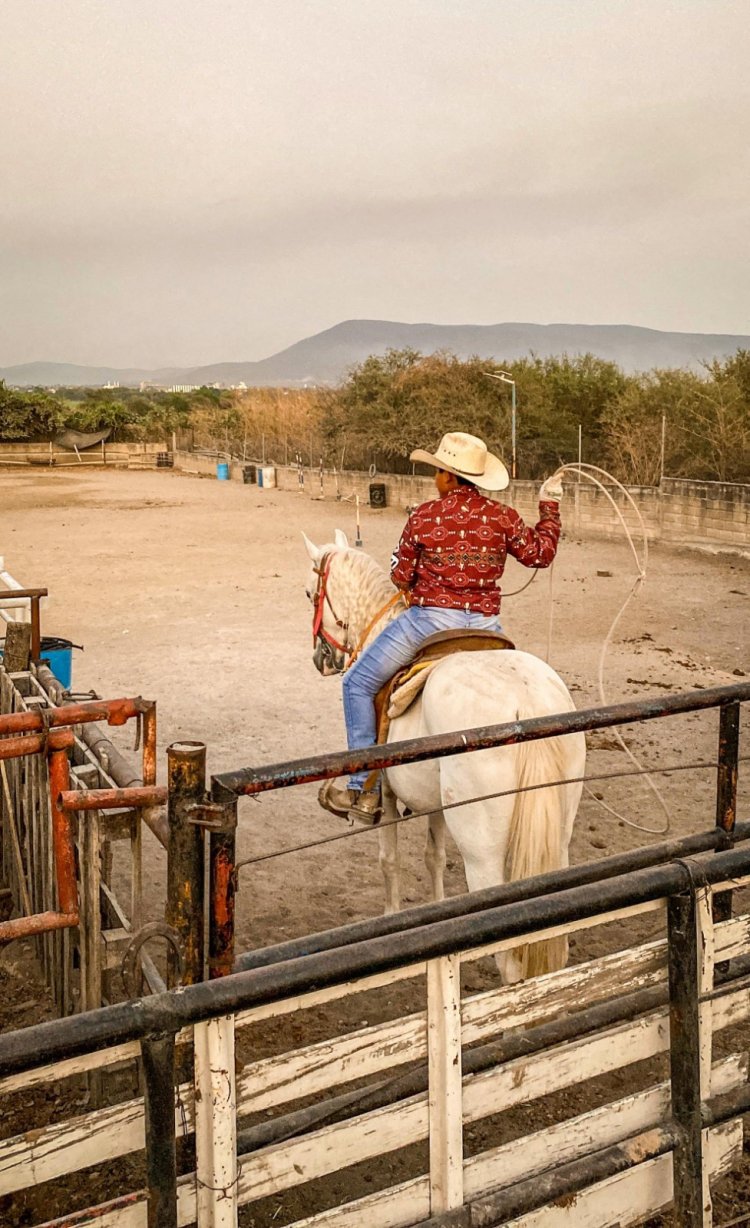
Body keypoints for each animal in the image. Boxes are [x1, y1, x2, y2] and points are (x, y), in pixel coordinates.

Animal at [303, 532, 586, 982]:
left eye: (310, 593)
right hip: (557, 837)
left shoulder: (386, 795)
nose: (320, 659)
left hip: (483, 852)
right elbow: (433, 858)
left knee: (510, 962)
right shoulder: (433, 800)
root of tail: (527, 703)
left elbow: (389, 860)